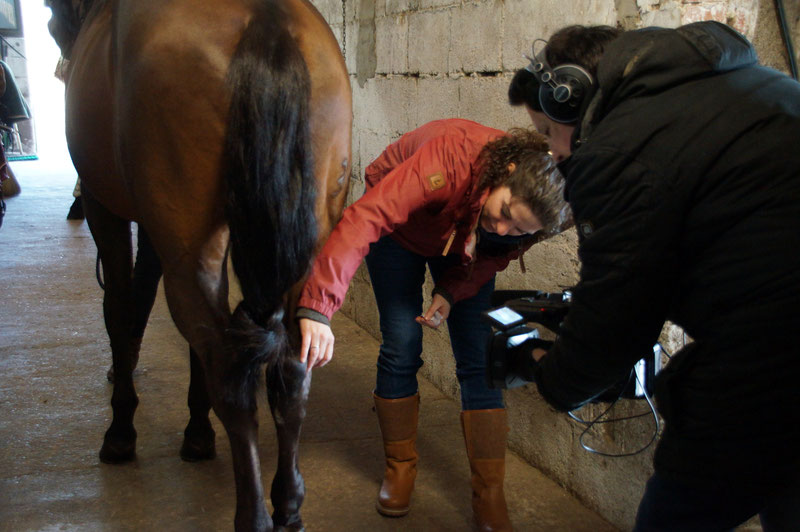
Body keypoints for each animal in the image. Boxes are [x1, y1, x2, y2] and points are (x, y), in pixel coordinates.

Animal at [45, 1, 352, 532]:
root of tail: (267, 19)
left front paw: (121, 429)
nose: (62, 65)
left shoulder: (107, 208)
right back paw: (288, 504)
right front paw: (196, 431)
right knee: (292, 365)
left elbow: (123, 308)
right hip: (305, 239)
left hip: (182, 237)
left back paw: (253, 514)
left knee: (231, 374)